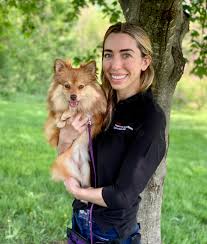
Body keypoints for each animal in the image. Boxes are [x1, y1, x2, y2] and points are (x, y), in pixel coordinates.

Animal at [45, 58, 106, 187]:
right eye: (67, 86)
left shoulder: (95, 115)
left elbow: (84, 112)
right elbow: (59, 116)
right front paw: (62, 119)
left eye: (81, 86)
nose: (73, 96)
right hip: (68, 167)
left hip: (86, 170)